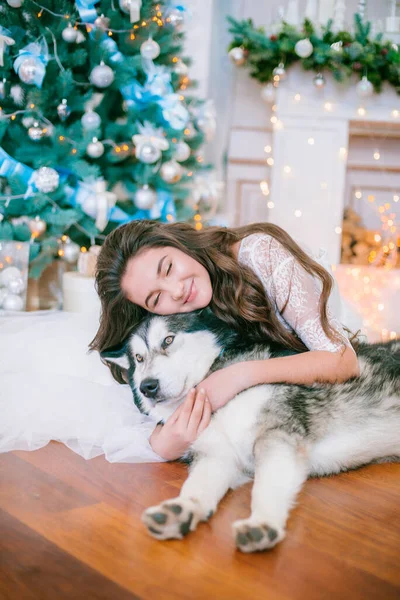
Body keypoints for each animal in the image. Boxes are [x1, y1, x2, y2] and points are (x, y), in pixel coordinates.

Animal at [102, 310, 400, 552]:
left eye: (168, 340)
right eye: (138, 358)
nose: (147, 387)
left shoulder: (276, 437)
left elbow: (266, 487)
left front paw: (263, 522)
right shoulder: (216, 455)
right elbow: (197, 485)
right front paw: (183, 508)